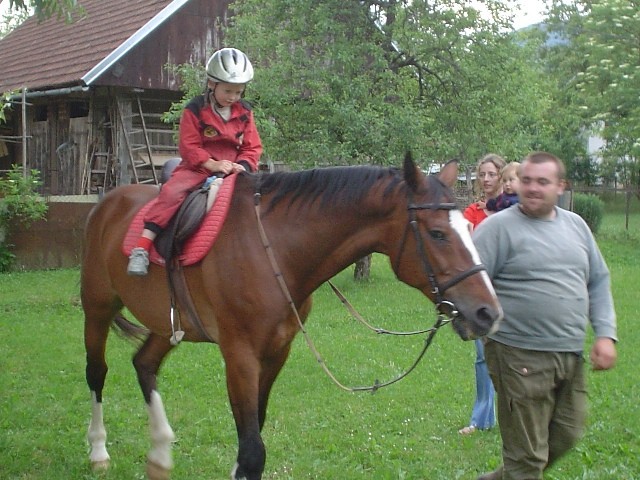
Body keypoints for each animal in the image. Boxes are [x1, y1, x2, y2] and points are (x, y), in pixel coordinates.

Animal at [81, 154, 500, 480]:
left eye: (468, 227)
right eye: (438, 234)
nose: (487, 312)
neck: (276, 250)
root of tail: (109, 201)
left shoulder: (277, 351)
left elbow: (251, 440)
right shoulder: (240, 357)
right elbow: (252, 450)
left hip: (167, 322)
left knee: (144, 364)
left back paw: (160, 454)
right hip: (97, 308)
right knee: (97, 373)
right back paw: (98, 452)